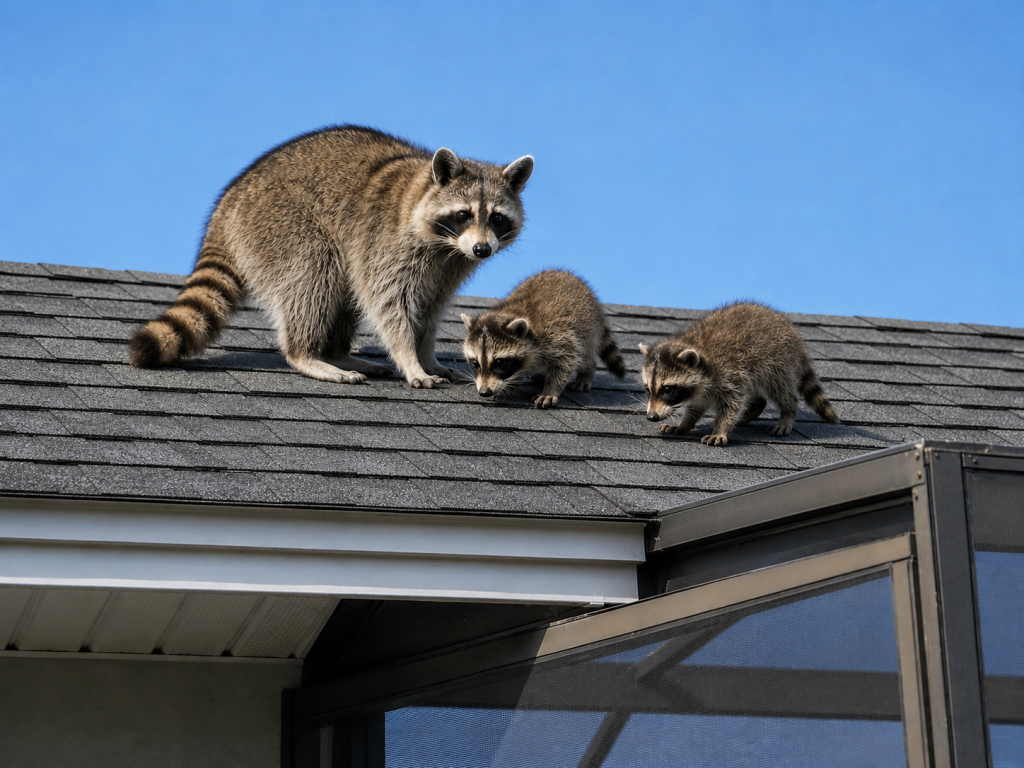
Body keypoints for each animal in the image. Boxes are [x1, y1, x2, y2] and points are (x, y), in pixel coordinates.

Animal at [129, 125, 533, 389]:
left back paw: (337, 352)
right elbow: (388, 302)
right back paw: (306, 353)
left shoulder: (449, 266)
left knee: (341, 288)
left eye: (497, 218)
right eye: (464, 214)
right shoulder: (388, 244)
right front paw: (409, 358)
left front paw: (427, 352)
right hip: (281, 224)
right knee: (316, 274)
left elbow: (431, 310)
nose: (482, 249)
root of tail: (228, 204)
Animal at [460, 270, 626, 409]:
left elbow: (565, 362)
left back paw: (586, 374)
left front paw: (550, 390)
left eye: (499, 362)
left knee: (587, 353)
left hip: (587, 328)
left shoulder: (557, 336)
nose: (484, 392)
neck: (512, 312)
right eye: (475, 363)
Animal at [640, 302, 839, 445]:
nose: (651, 417)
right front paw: (684, 424)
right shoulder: (701, 388)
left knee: (780, 389)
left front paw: (720, 429)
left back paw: (787, 413)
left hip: (777, 362)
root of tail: (791, 331)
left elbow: (731, 404)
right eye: (648, 389)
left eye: (667, 389)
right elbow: (696, 407)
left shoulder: (729, 374)